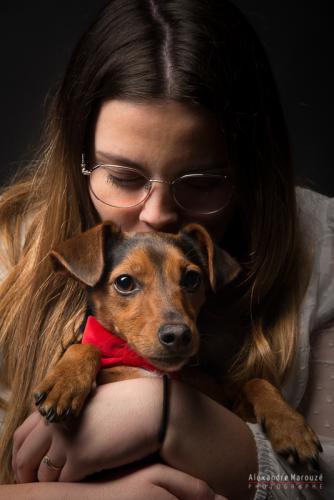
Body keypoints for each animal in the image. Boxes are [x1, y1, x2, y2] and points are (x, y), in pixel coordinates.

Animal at [33, 223, 320, 468]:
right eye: (124, 282)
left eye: (192, 279)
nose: (178, 335)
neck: (150, 367)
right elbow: (86, 346)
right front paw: (65, 382)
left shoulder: (233, 409)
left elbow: (256, 382)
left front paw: (291, 426)